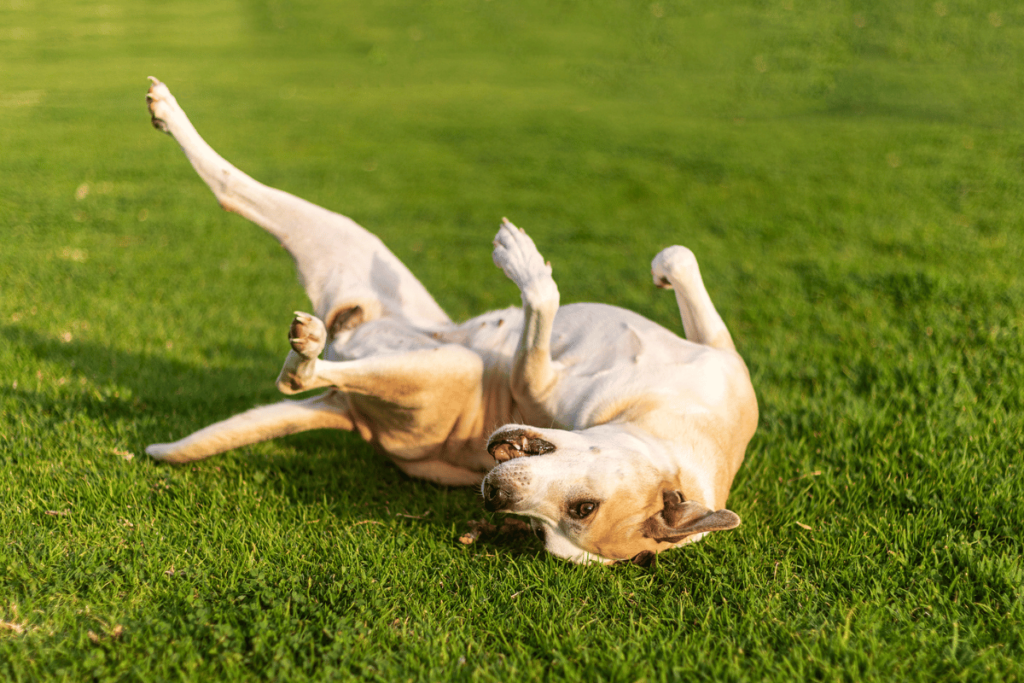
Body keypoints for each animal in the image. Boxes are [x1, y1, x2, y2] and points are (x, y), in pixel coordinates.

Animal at [142, 77, 761, 565]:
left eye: (556, 524)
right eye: (583, 507)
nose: (494, 499)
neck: (676, 426)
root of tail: (349, 415)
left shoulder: (534, 381)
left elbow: (541, 305)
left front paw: (524, 264)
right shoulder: (719, 353)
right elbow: (681, 256)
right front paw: (658, 270)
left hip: (441, 359)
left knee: (300, 366)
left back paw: (309, 349)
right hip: (361, 255)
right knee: (237, 190)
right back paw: (168, 112)